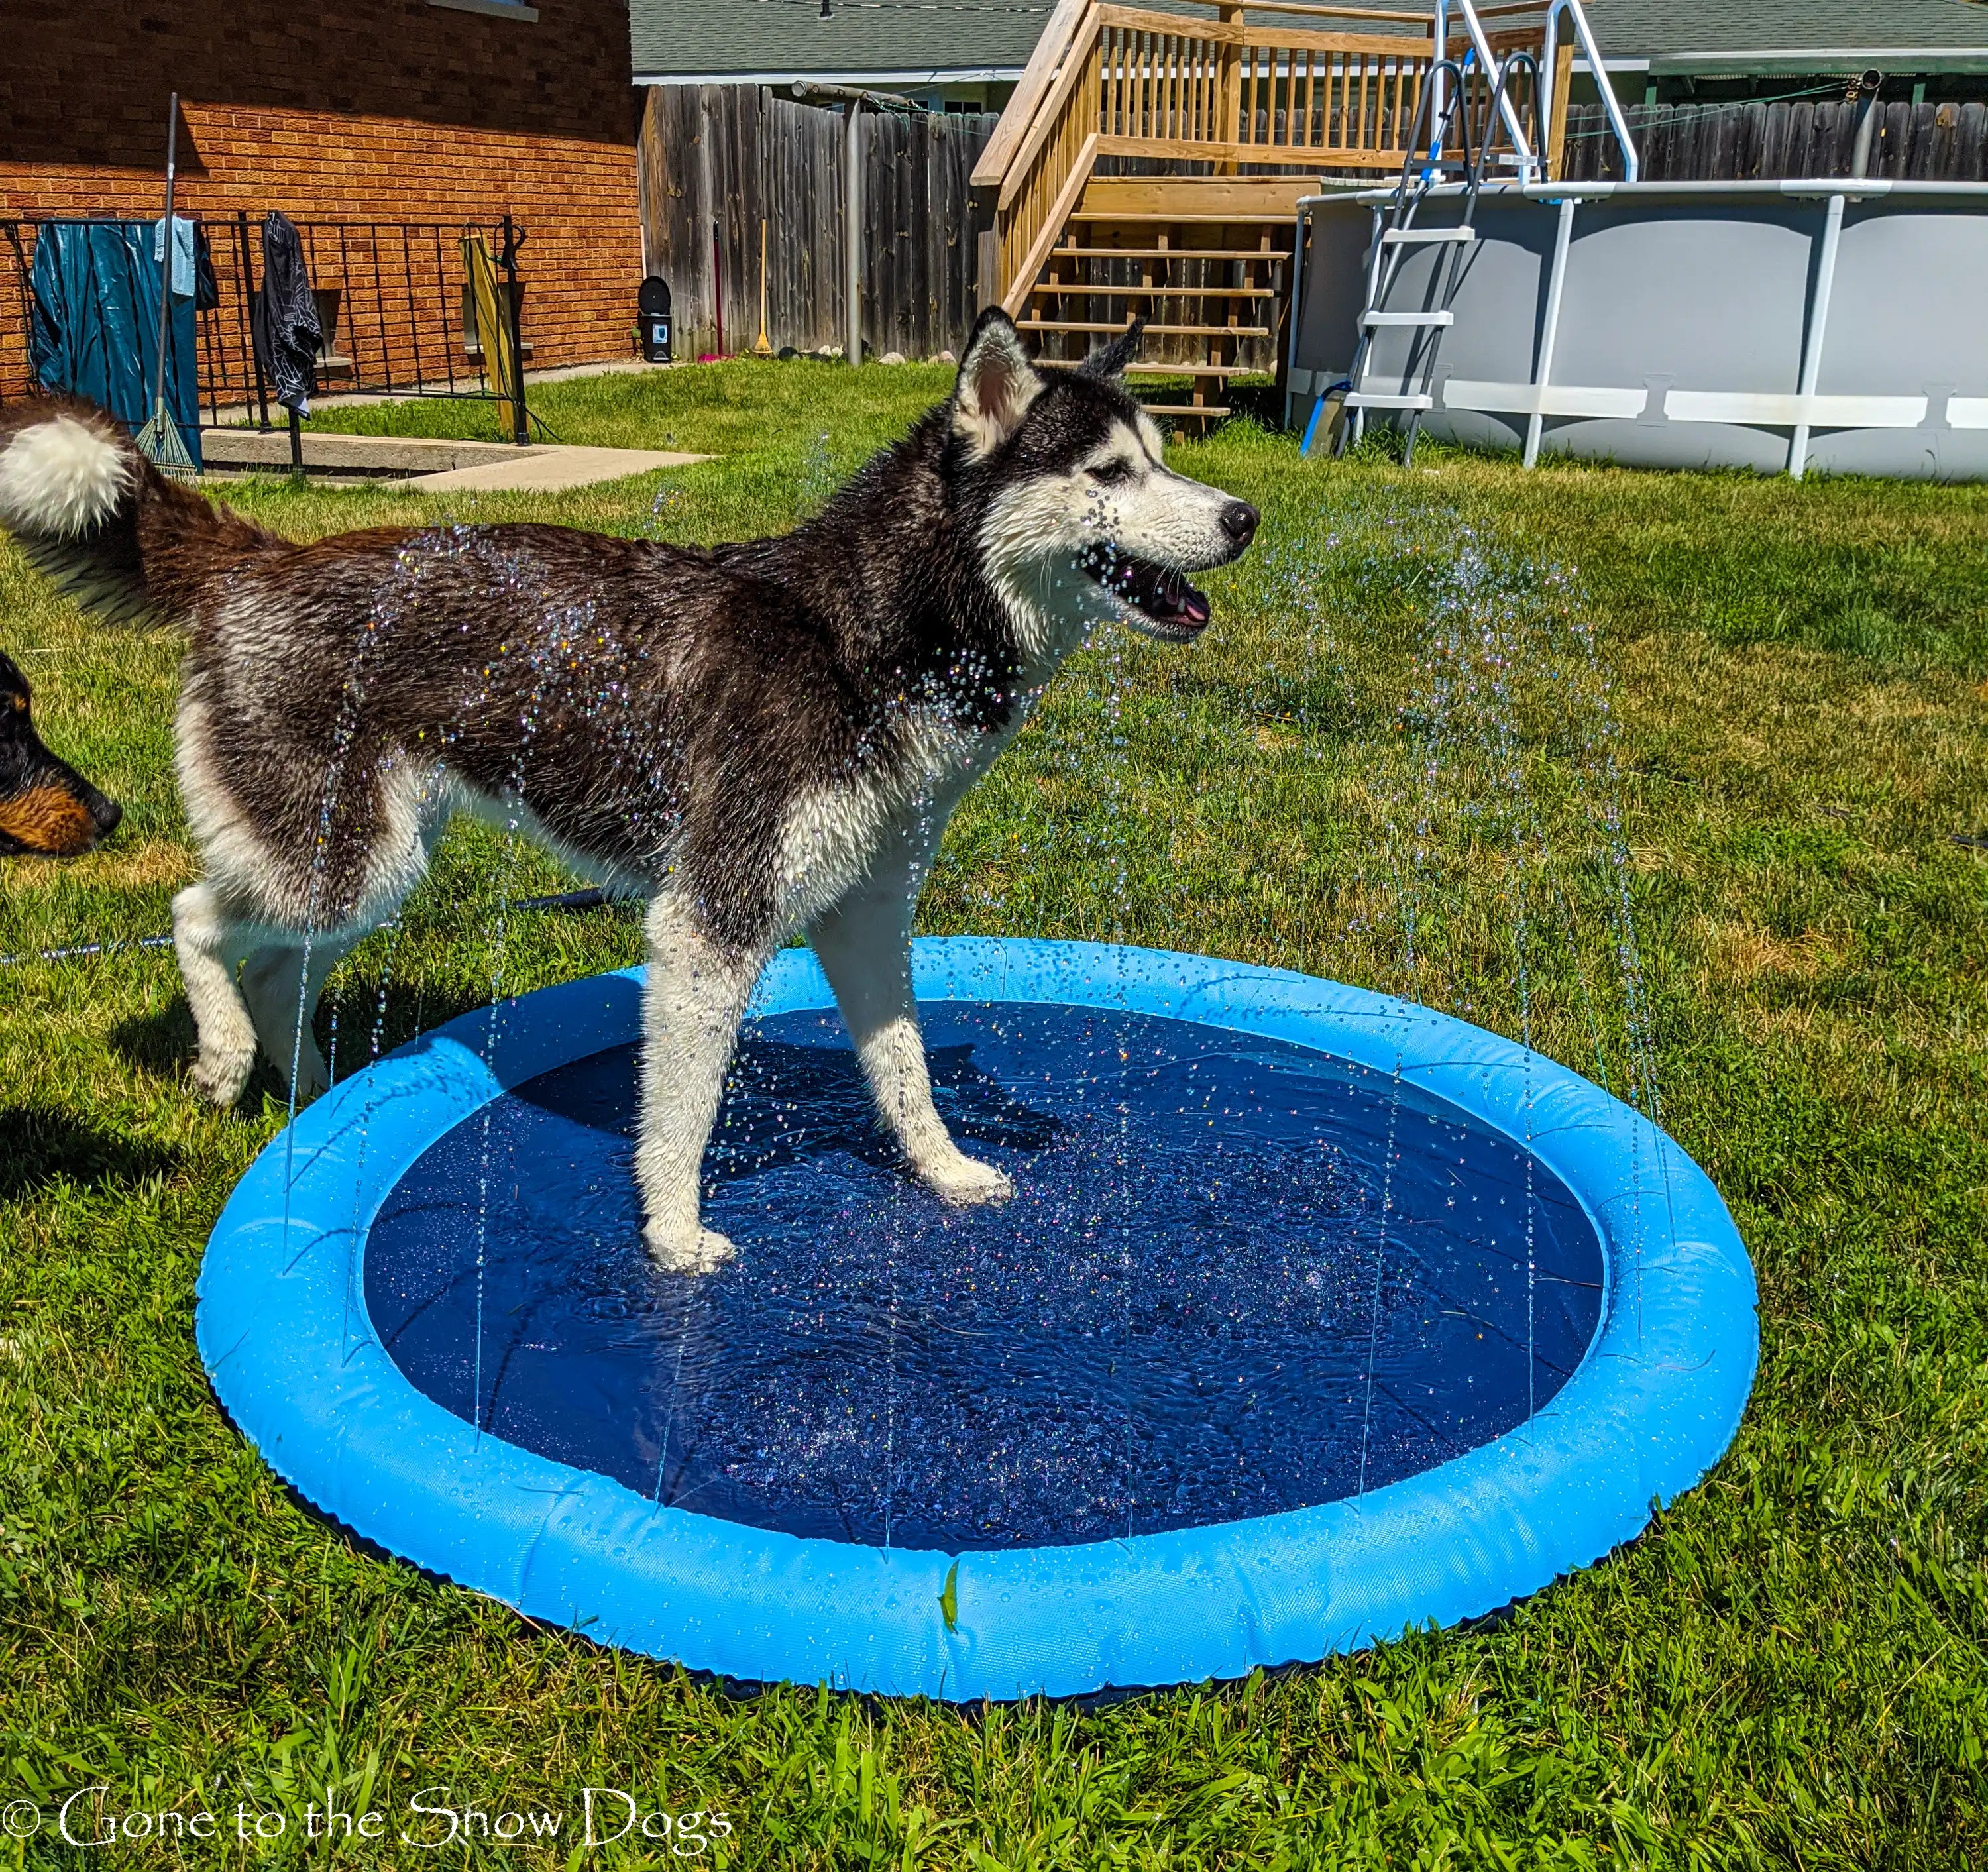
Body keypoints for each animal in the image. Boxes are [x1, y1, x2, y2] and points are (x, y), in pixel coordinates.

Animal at [0, 315, 1256, 1272]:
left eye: (1164, 454)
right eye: (1110, 472)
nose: (1244, 515)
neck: (864, 639)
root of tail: (261, 556)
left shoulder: (865, 913)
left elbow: (902, 1071)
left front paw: (945, 1171)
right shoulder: (713, 920)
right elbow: (682, 1117)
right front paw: (674, 1238)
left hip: (371, 863)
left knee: (273, 964)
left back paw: (309, 1093)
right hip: (340, 857)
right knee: (195, 919)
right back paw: (222, 1060)